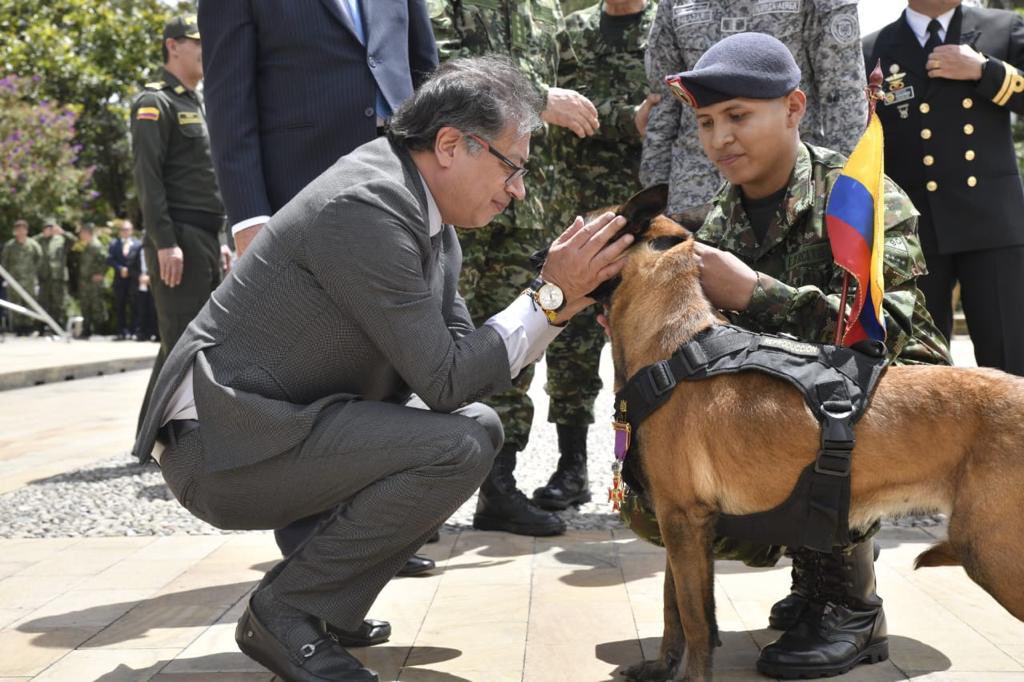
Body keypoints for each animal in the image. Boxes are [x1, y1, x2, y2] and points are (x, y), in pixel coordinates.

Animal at [598, 186, 1024, 679]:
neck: (675, 342)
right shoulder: (679, 524)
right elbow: (674, 611)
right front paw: (661, 668)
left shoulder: (684, 520)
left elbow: (697, 621)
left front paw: (690, 676)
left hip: (993, 551)